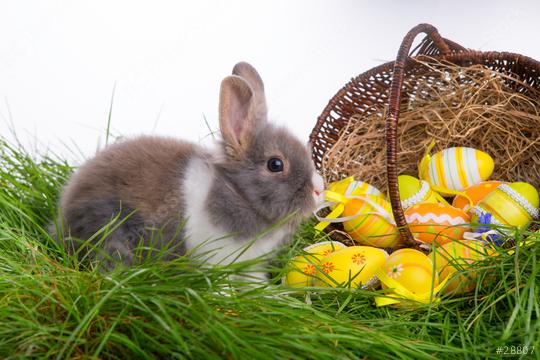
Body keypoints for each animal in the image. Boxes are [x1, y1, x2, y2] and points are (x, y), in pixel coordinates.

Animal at [53, 61, 324, 278]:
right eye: (275, 164)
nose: (319, 190)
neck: (235, 192)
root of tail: (63, 215)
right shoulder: (216, 260)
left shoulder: (250, 266)